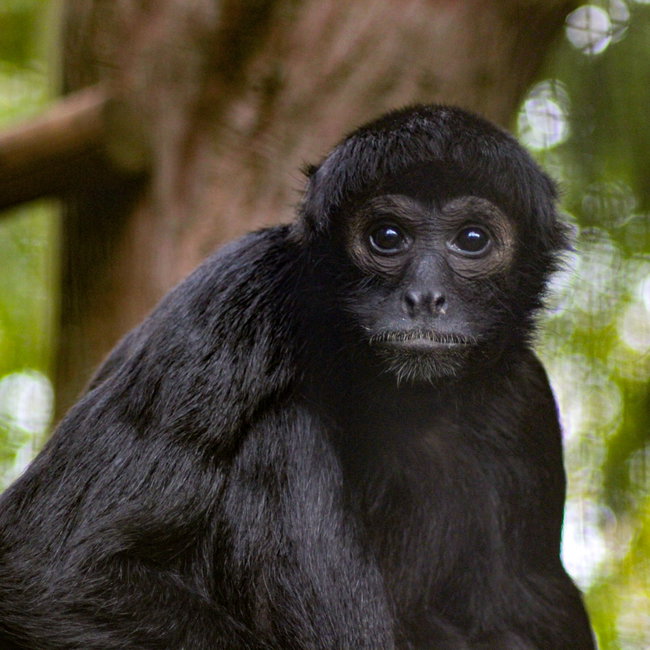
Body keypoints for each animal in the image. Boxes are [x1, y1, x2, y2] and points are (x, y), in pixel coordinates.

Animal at [0, 105, 595, 649]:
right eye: (387, 236)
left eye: (472, 239)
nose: (425, 297)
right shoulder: (237, 290)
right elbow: (47, 566)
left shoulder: (524, 399)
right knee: (284, 435)